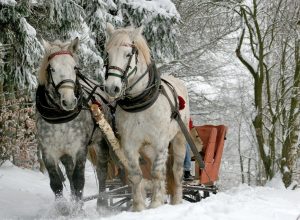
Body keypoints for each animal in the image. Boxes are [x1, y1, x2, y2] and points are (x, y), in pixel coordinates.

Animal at [103, 23, 190, 211]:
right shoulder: (130, 144)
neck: (140, 102)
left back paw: (177, 201)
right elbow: (136, 175)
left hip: (179, 139)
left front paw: (156, 203)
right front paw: (138, 207)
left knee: (176, 171)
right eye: (107, 54)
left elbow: (157, 173)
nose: (112, 88)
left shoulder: (160, 142)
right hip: (148, 149)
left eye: (128, 54)